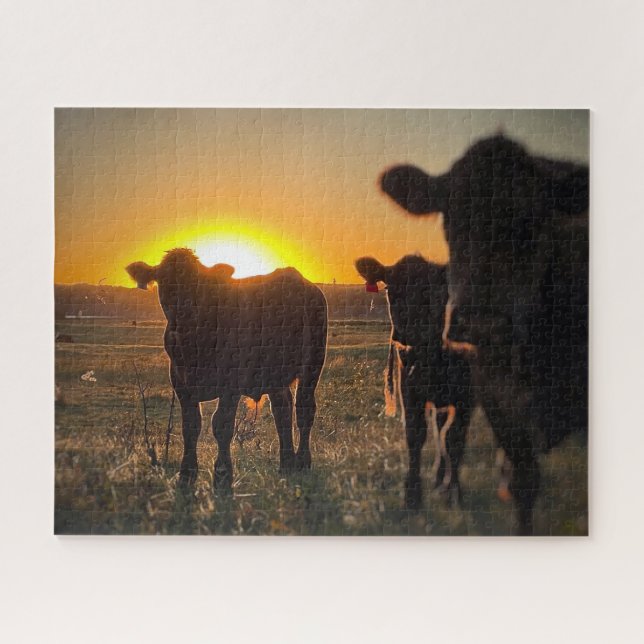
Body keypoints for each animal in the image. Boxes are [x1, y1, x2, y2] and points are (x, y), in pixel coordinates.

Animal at [126, 248, 328, 490]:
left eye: (199, 285)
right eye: (165, 283)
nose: (182, 316)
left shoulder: (231, 385)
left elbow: (221, 424)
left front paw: (222, 473)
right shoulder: (181, 383)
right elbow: (190, 426)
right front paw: (186, 474)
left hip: (312, 364)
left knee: (304, 409)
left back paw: (303, 462)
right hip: (275, 374)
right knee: (282, 410)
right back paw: (286, 463)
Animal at [355, 255, 472, 510]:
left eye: (432, 291)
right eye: (389, 288)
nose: (402, 334)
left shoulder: (467, 395)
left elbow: (455, 440)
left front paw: (455, 493)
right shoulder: (409, 389)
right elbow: (415, 435)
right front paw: (412, 496)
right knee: (439, 427)